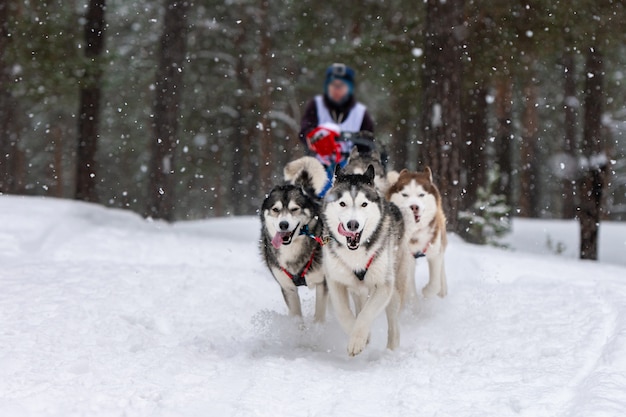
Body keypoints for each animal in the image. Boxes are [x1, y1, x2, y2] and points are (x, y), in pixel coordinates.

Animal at [258, 156, 326, 322]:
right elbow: (296, 317)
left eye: (294, 209)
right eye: (275, 209)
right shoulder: (288, 288)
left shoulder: (322, 282)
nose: (283, 224)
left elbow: (319, 315)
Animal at [322, 165, 410, 354]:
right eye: (342, 203)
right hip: (357, 289)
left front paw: (357, 339)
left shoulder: (384, 284)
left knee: (393, 322)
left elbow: (366, 313)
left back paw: (392, 349)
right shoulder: (335, 280)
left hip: (395, 285)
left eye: (364, 204)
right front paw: (360, 335)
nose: (352, 224)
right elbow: (343, 312)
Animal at [388, 167, 446, 298]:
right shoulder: (407, 259)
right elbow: (409, 289)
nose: (414, 207)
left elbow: (435, 283)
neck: (415, 234)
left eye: (421, 195)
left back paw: (443, 290)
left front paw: (428, 291)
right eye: (405, 195)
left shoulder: (435, 252)